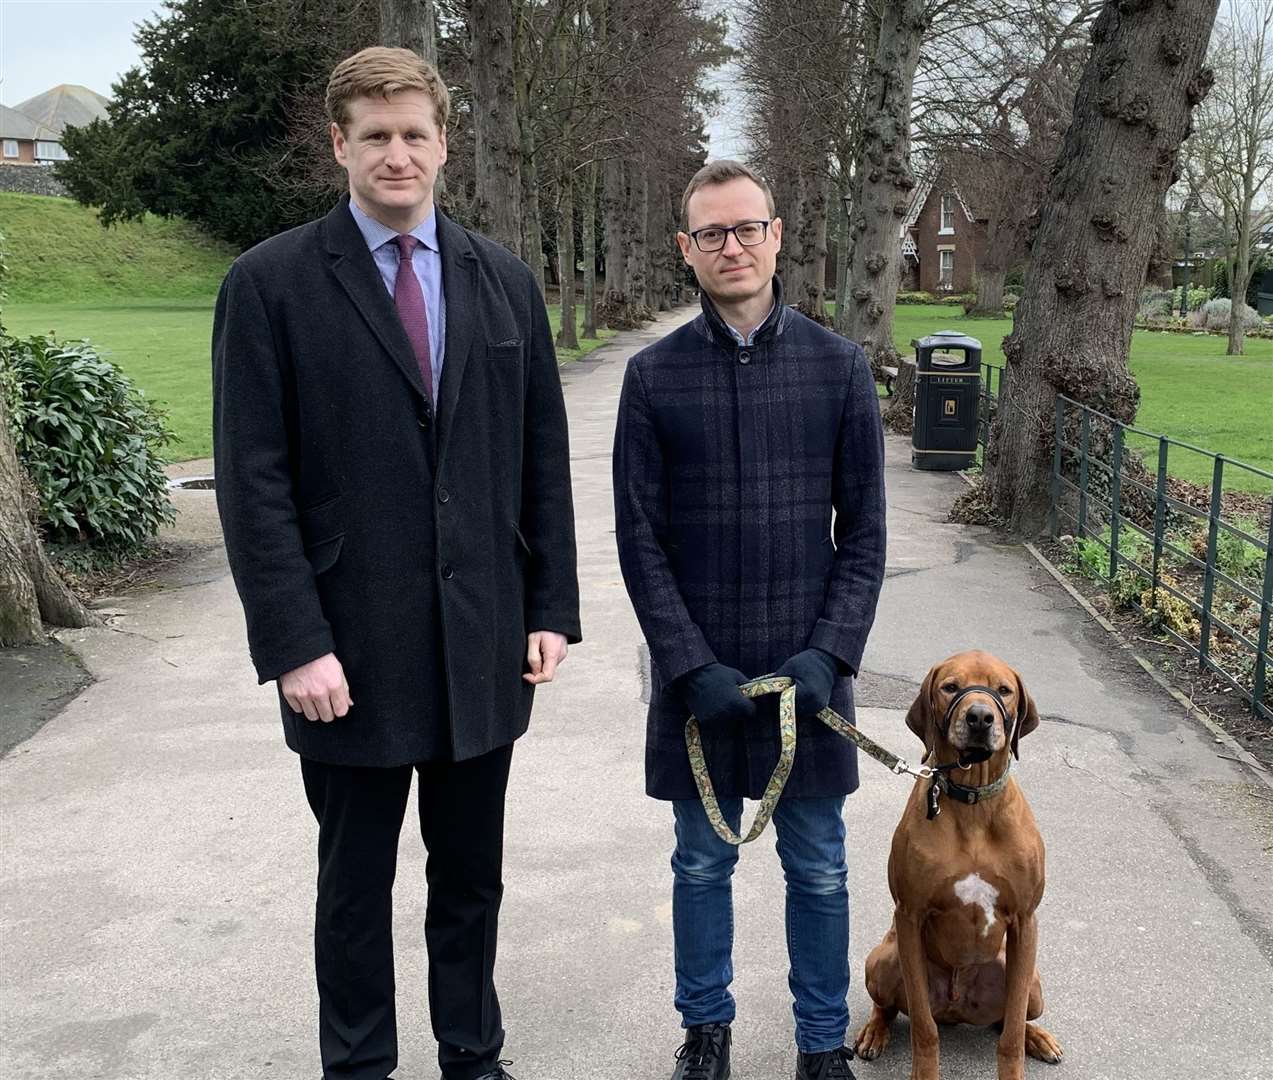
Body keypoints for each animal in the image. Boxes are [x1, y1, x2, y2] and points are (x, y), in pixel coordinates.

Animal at [855, 649, 1064, 1080]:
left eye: (1004, 689)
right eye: (950, 686)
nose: (980, 717)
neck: (973, 803)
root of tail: (955, 1007)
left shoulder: (1025, 920)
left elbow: (1010, 1035)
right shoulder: (909, 915)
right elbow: (923, 1027)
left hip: (1031, 982)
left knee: (1011, 1017)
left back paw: (1038, 1037)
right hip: (884, 959)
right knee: (889, 1007)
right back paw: (874, 1032)